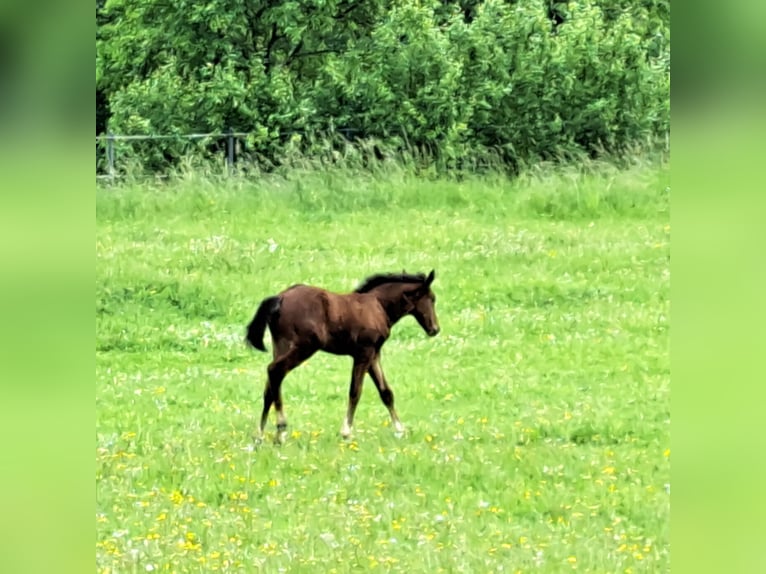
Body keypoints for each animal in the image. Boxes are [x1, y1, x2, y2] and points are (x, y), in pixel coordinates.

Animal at [245, 270, 440, 442]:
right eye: (432, 299)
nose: (435, 329)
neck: (378, 305)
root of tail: (281, 298)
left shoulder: (373, 354)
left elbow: (386, 392)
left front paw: (400, 429)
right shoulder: (363, 353)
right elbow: (355, 391)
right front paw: (346, 432)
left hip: (280, 346)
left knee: (270, 387)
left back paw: (260, 434)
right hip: (304, 347)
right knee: (275, 371)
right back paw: (281, 430)